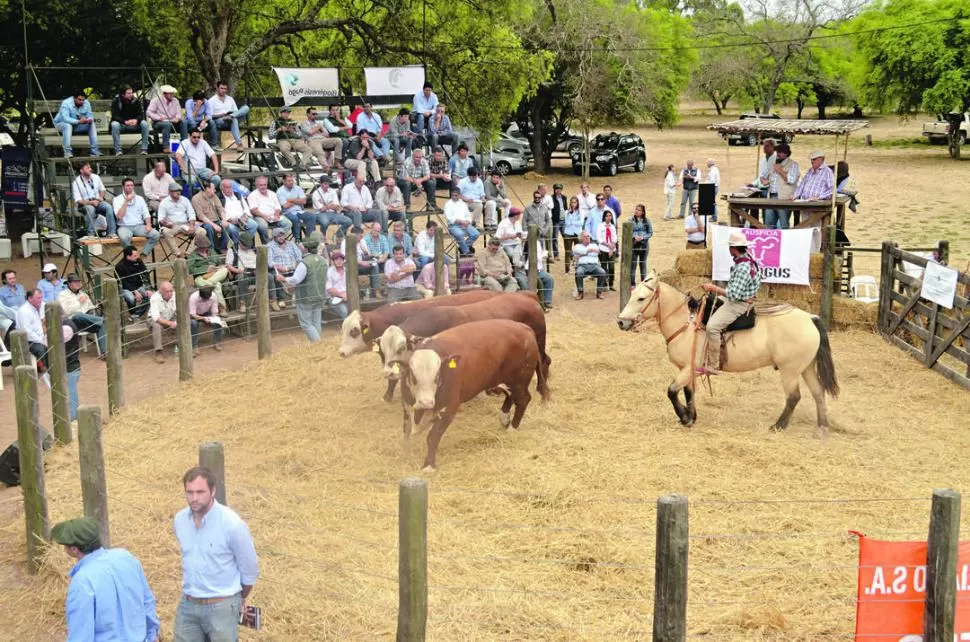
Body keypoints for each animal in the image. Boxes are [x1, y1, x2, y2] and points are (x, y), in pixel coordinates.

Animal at [404, 320, 548, 470]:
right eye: (412, 374)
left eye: (437, 375)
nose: (425, 402)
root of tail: (525, 327)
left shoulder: (449, 409)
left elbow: (432, 436)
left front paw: (428, 465)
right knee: (510, 396)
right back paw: (504, 418)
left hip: (519, 381)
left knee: (523, 399)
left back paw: (512, 428)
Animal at [616, 270, 836, 436]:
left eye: (641, 298)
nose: (621, 322)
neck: (687, 323)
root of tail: (810, 318)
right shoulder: (688, 369)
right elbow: (688, 392)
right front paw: (691, 417)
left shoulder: (689, 368)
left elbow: (671, 391)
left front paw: (685, 417)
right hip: (806, 367)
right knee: (818, 392)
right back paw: (822, 427)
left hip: (789, 370)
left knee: (794, 397)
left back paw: (778, 426)